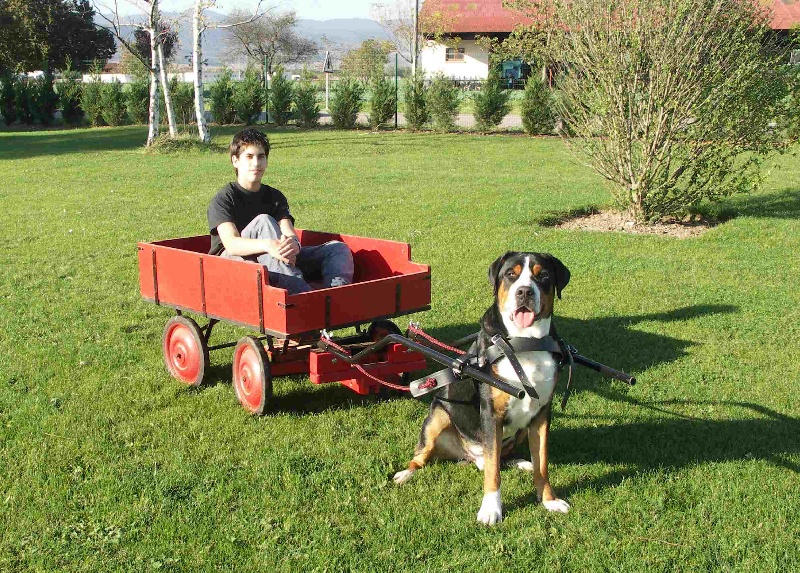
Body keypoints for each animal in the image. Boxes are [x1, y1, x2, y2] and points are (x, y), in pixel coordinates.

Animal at [392, 250, 568, 524]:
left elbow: (542, 463)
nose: (525, 292)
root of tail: (471, 456)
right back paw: (406, 473)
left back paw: (519, 462)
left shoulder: (541, 414)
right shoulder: (491, 413)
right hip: (438, 416)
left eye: (544, 276)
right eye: (511, 274)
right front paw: (491, 510)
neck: (523, 342)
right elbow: (493, 473)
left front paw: (549, 500)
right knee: (423, 456)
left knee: (501, 457)